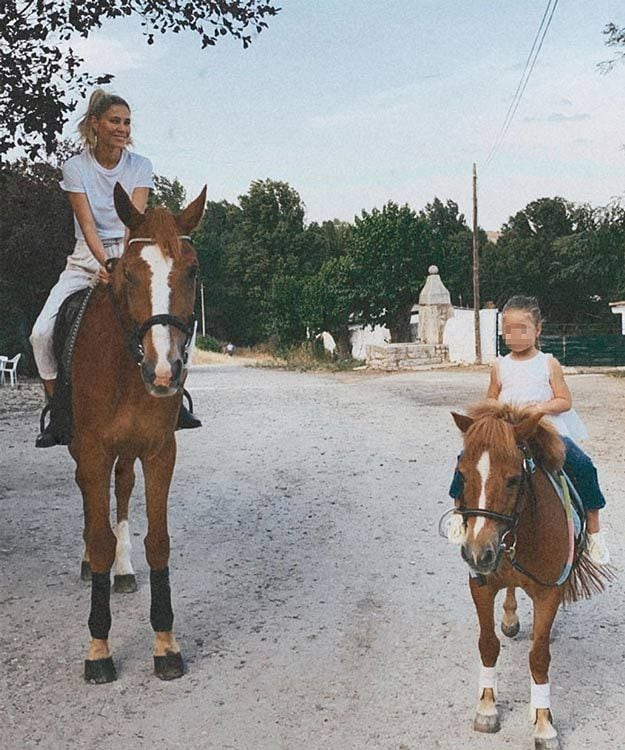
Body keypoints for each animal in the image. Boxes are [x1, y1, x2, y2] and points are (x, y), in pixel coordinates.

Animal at [69, 184, 205, 688]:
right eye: (128, 274)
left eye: (192, 270)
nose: (165, 370)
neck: (127, 368)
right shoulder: (92, 450)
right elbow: (99, 538)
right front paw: (99, 648)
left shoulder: (159, 450)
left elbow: (158, 541)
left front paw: (166, 643)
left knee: (123, 487)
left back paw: (123, 571)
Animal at [450, 402, 608, 750]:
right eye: (462, 475)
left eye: (512, 480)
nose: (478, 552)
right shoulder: (481, 585)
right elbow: (488, 644)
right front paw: (486, 707)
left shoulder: (549, 592)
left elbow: (538, 657)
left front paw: (543, 722)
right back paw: (510, 618)